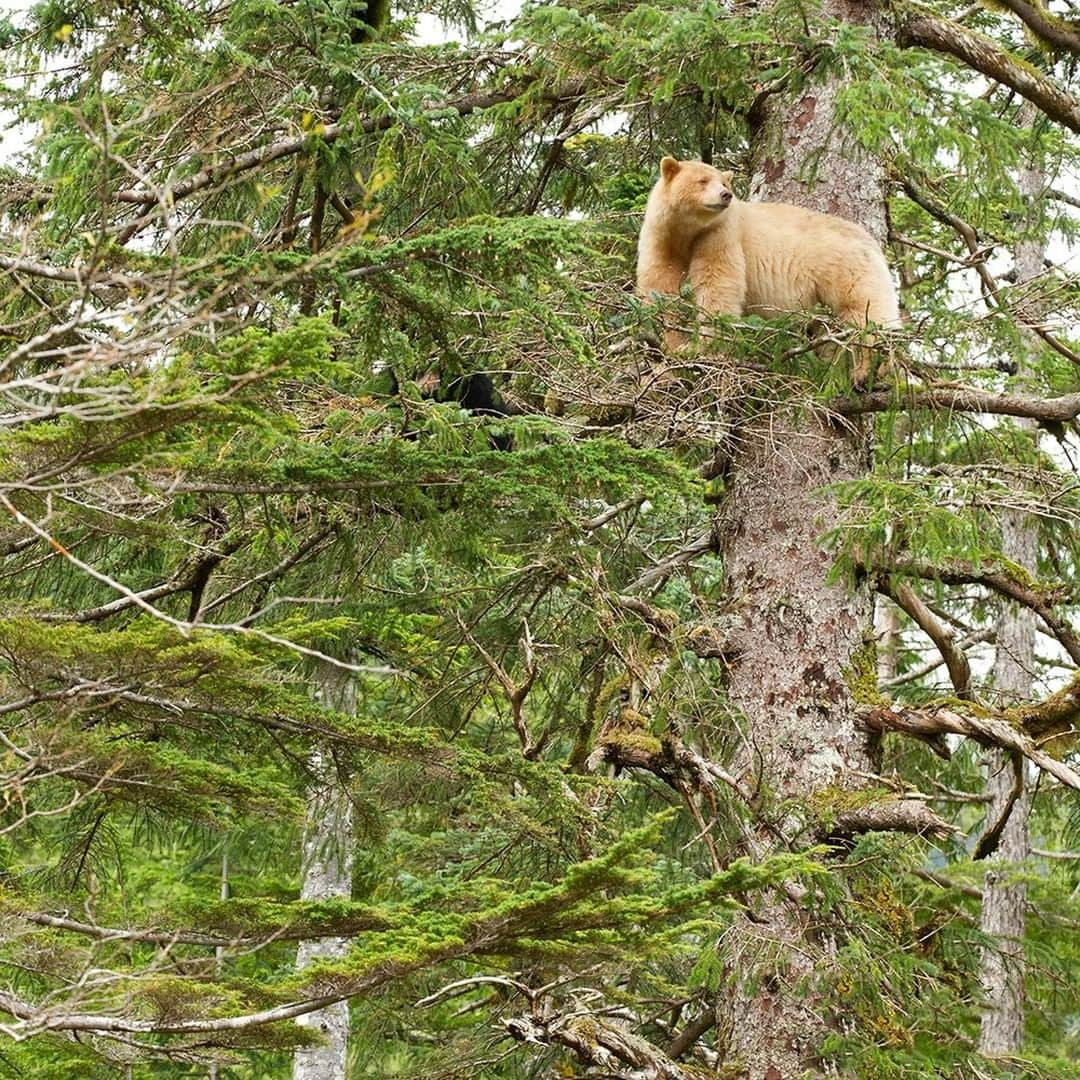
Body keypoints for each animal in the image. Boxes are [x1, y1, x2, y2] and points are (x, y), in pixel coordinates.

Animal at [635, 156, 898, 382]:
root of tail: (871, 242)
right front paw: (668, 348)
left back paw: (870, 369)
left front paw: (701, 347)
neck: (687, 233)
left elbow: (718, 287)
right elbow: (659, 288)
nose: (726, 195)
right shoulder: (661, 238)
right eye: (702, 180)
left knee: (866, 314)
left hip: (847, 268)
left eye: (723, 181)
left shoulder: (720, 234)